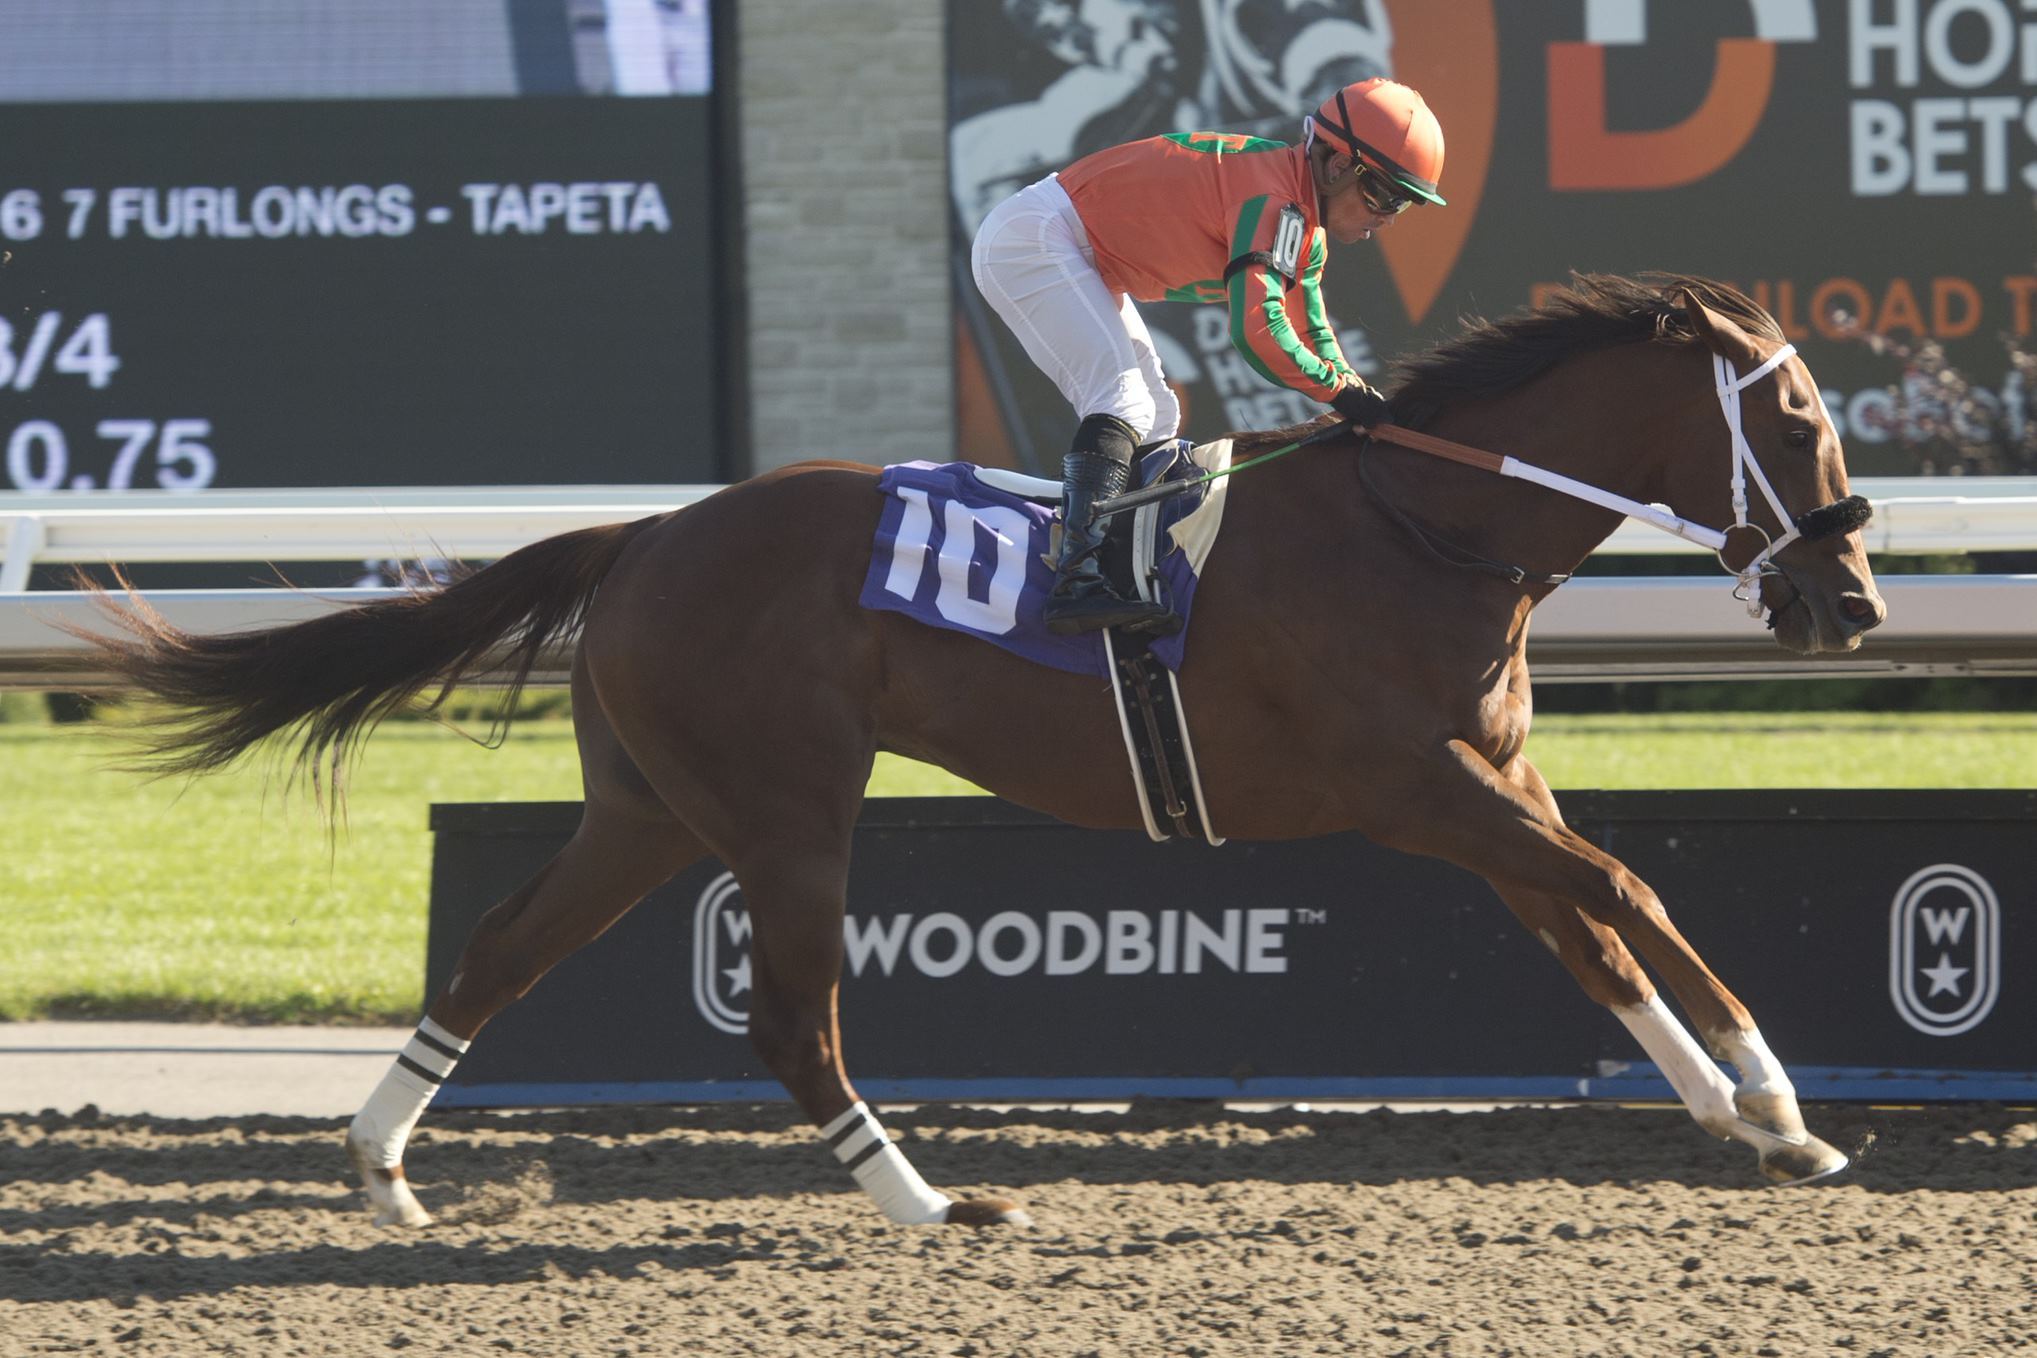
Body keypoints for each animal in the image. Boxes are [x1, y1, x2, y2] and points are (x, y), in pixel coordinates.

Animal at [83, 276, 1890, 1229]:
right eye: (1799, 417)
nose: (1852, 601)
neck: (1422, 525)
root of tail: (649, 531)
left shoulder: (1486, 785)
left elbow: (1596, 932)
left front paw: (1755, 1119)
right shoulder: (1413, 786)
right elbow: (1628, 886)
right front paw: (1775, 1087)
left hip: (652, 809)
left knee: (501, 950)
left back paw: (384, 1166)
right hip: (786, 809)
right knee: (792, 1020)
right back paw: (925, 1202)